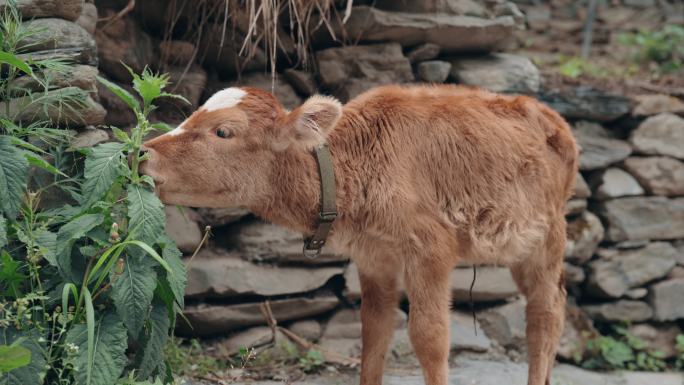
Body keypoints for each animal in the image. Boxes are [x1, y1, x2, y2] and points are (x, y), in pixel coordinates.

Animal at [142, 84, 580, 384]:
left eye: (223, 132)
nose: (143, 152)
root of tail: (550, 114)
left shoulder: (431, 249)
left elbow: (430, 336)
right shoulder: (375, 257)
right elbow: (374, 332)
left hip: (546, 237)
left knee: (545, 316)